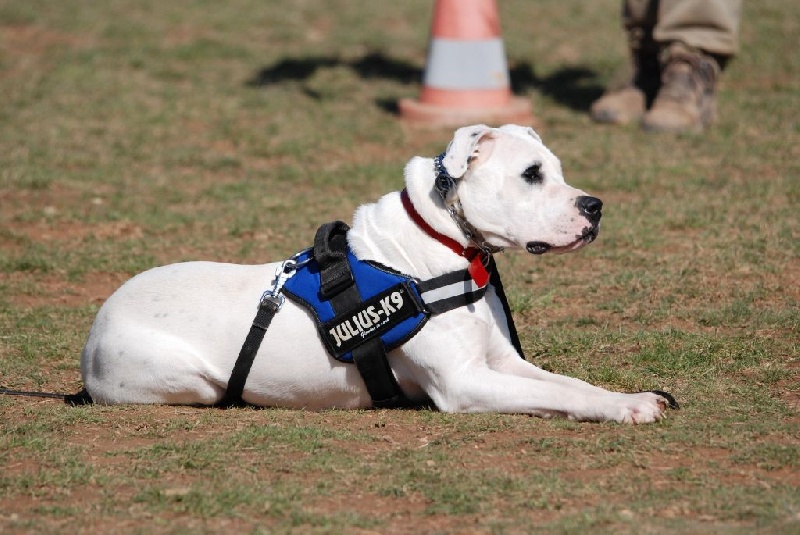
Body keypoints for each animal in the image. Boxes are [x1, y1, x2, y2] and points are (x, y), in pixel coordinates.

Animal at [81, 124, 680, 422]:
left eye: (556, 169)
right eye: (531, 174)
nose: (595, 206)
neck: (444, 245)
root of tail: (94, 329)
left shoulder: (504, 362)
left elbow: (570, 384)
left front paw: (628, 395)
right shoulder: (464, 383)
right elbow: (566, 397)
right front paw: (624, 408)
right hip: (184, 379)